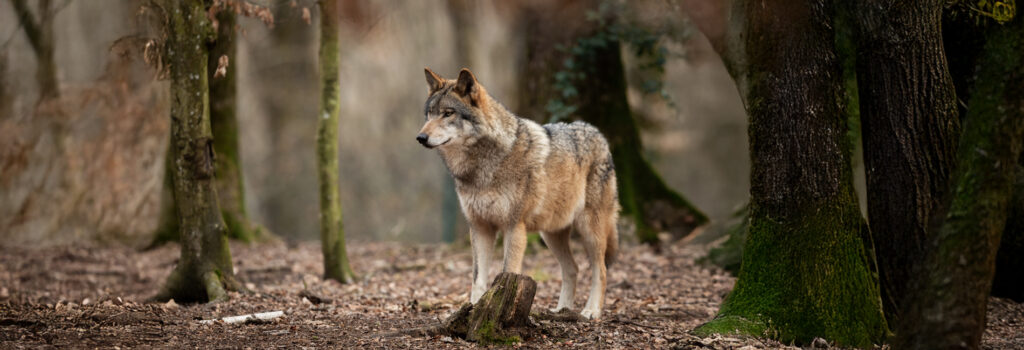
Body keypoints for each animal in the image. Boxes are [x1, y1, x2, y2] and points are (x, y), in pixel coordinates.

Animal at [417, 66, 622, 319]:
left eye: (448, 113)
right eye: (430, 114)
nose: (421, 137)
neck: (482, 167)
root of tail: (598, 133)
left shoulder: (513, 227)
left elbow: (507, 273)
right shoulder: (480, 227)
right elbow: (477, 279)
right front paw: (473, 310)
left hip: (589, 230)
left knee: (600, 270)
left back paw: (591, 311)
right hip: (551, 234)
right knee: (572, 269)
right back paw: (562, 310)